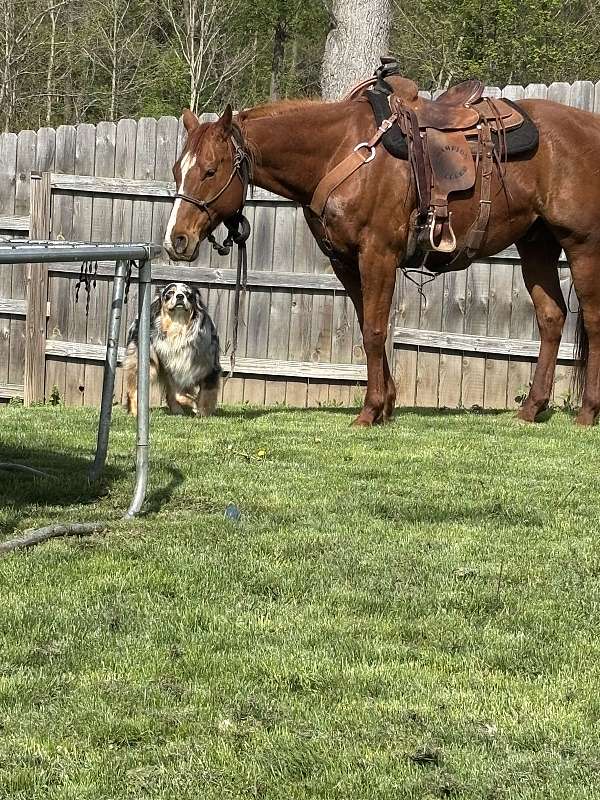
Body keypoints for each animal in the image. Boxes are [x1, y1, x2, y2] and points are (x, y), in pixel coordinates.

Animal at [163, 84, 600, 428]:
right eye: (177, 170)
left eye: (211, 170)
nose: (176, 240)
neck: (338, 151)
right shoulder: (346, 263)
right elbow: (366, 327)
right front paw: (386, 404)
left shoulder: (378, 255)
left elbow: (374, 331)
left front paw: (370, 410)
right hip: (537, 244)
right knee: (551, 319)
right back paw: (531, 408)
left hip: (582, 246)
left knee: (593, 323)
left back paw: (587, 412)